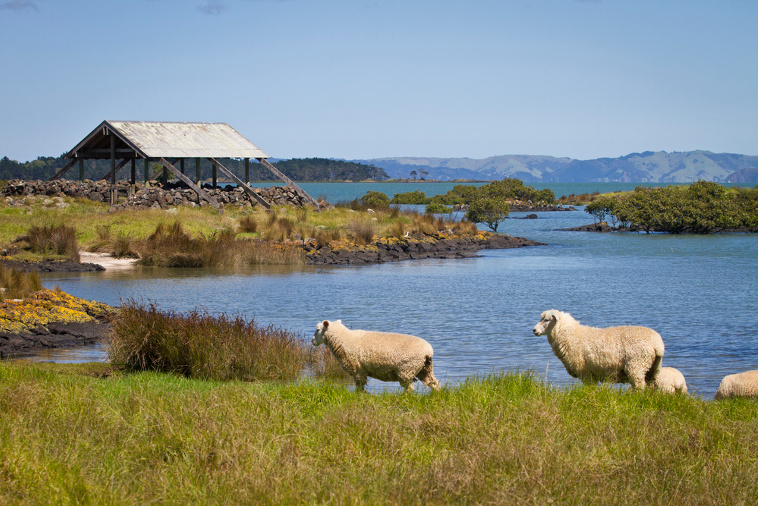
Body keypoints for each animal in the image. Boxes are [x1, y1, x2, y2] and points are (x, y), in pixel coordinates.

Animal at [532, 310, 664, 390]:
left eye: (546, 319)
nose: (534, 330)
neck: (571, 335)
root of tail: (658, 344)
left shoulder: (585, 372)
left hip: (636, 365)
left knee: (640, 387)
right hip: (653, 368)